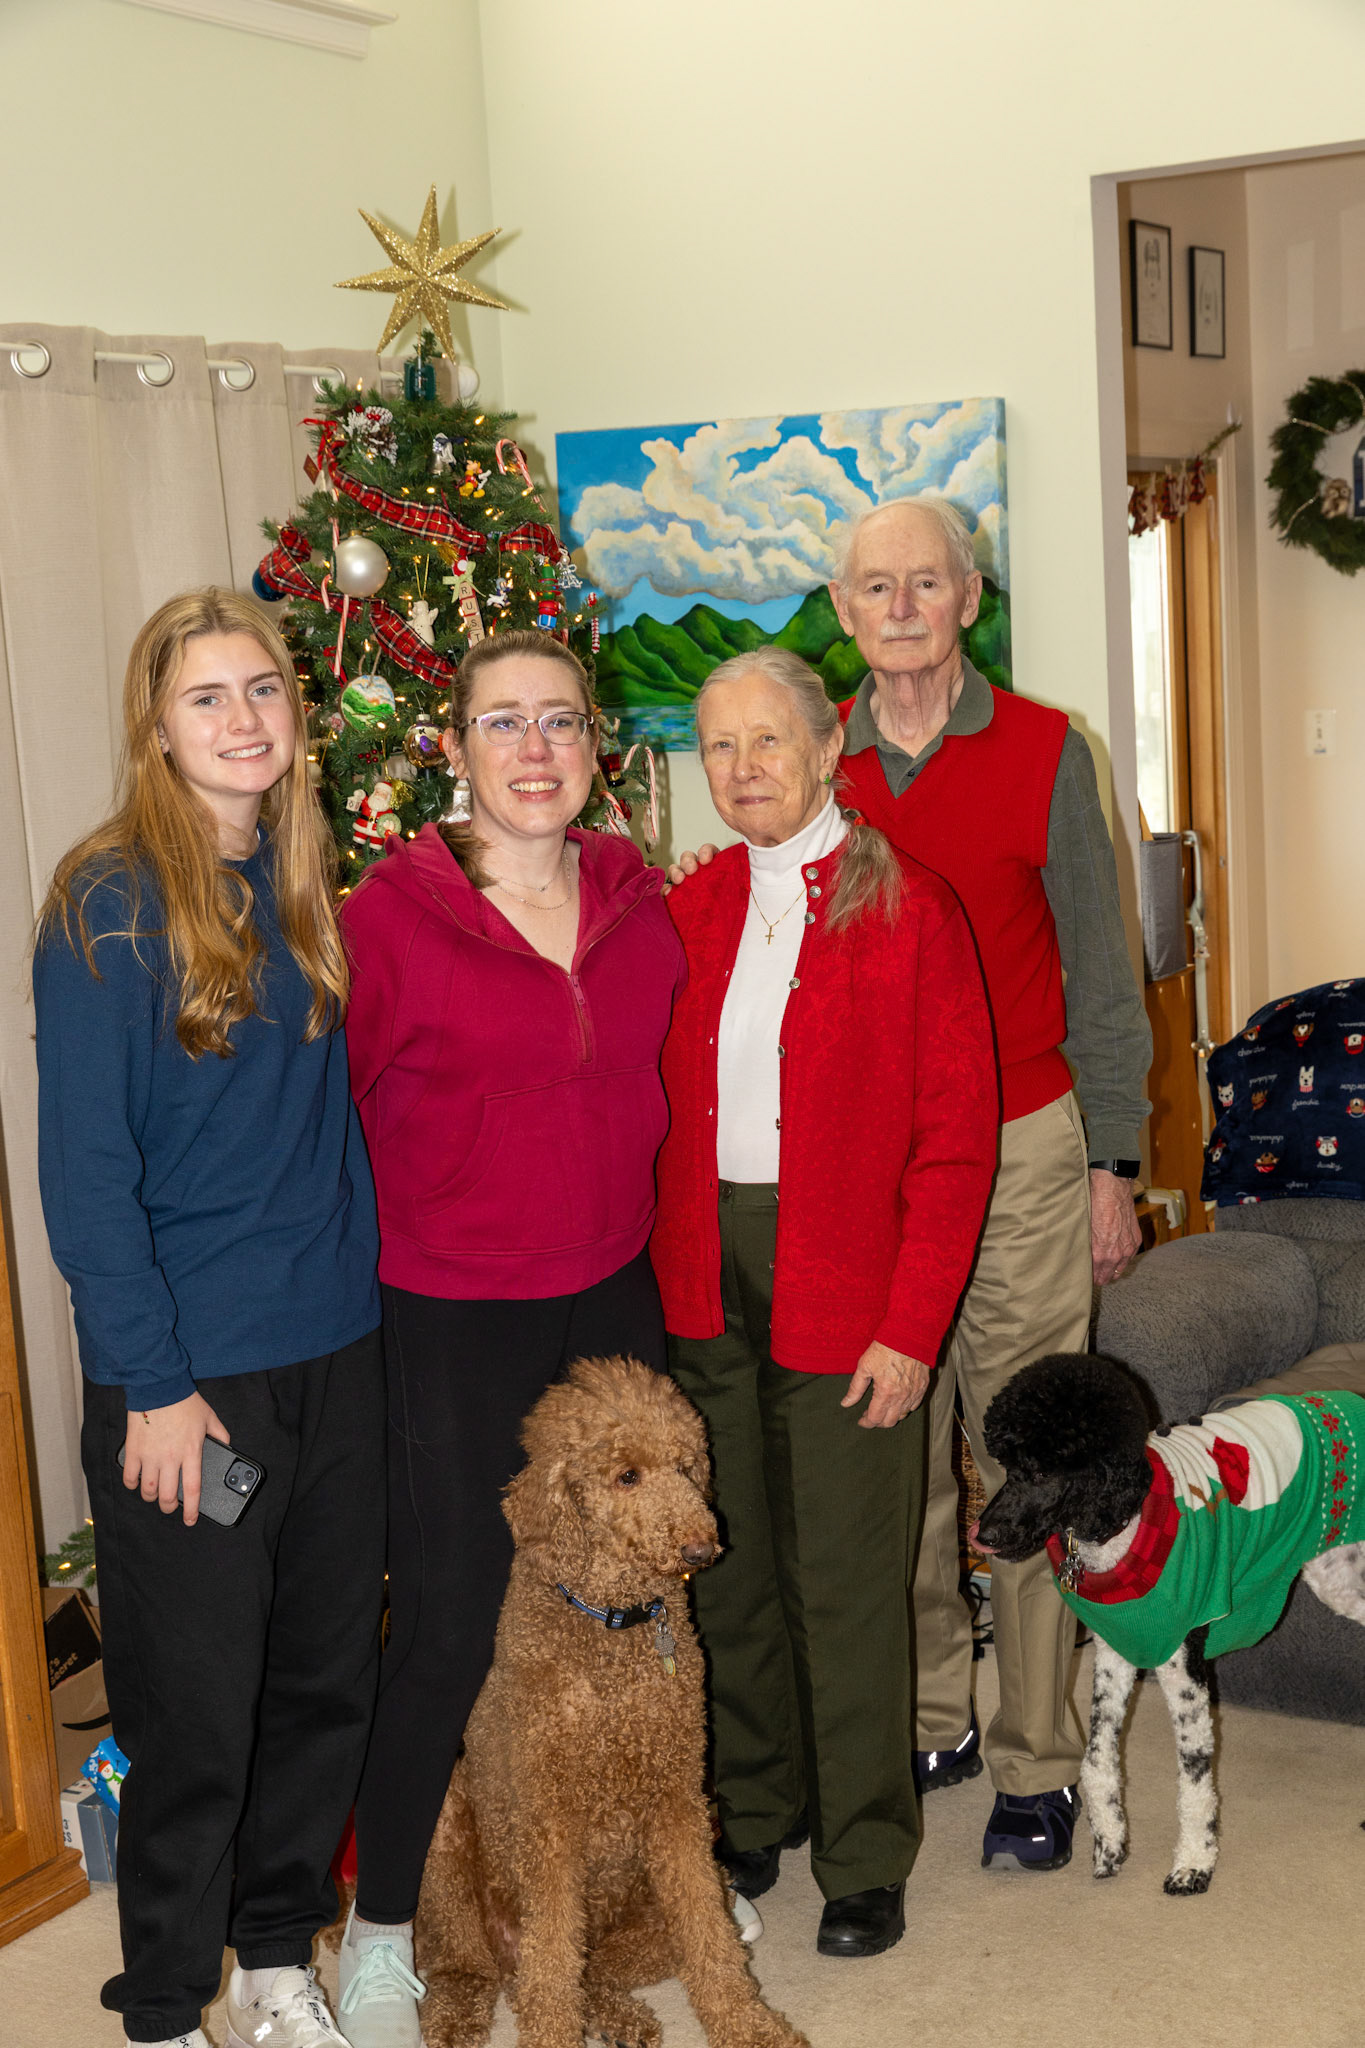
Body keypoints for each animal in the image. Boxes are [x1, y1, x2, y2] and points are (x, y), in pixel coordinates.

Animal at [416, 1355, 810, 2048]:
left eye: (686, 1466)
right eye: (627, 1475)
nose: (701, 1548)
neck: (614, 1626)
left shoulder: (678, 1803)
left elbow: (711, 1944)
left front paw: (748, 2026)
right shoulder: (549, 1824)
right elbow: (550, 1969)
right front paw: (551, 2038)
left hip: (668, 1897)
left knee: (584, 1969)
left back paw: (620, 2017)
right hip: (450, 1838)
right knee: (475, 1969)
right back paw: (457, 2019)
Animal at [974, 1352, 1365, 1895]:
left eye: (1041, 1471)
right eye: (1008, 1466)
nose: (982, 1536)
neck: (1124, 1522)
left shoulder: (1184, 1667)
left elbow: (1195, 1779)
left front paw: (1194, 1863)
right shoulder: (1115, 1649)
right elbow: (1095, 1759)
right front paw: (1110, 1844)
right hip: (1338, 1576)